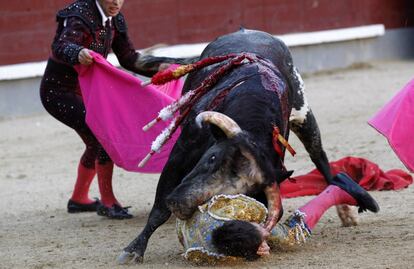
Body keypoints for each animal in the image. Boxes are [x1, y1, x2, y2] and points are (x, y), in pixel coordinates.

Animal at [119, 28, 336, 262]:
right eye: (213, 157)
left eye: (244, 191)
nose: (180, 204)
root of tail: (247, 30)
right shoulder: (180, 155)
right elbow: (159, 209)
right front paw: (133, 250)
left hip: (303, 116)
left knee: (319, 155)